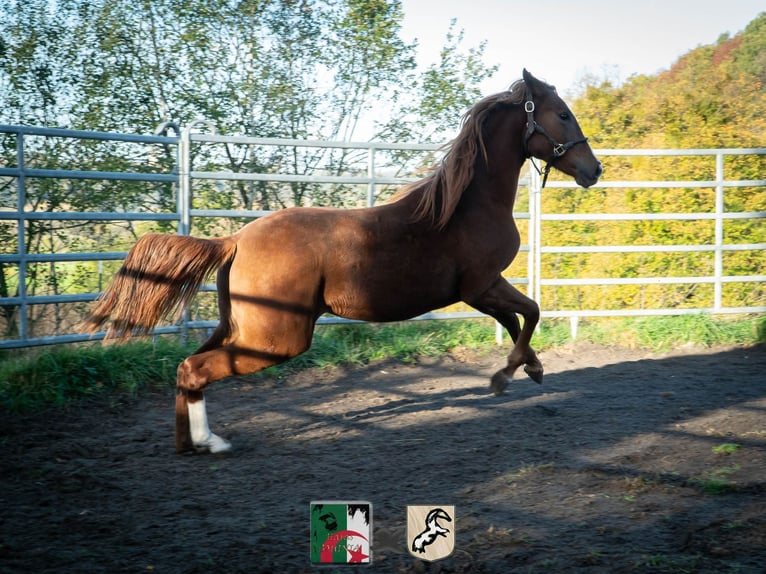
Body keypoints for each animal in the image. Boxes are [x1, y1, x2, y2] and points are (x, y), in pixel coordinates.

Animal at [82, 69, 602, 454]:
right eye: (562, 113)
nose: (593, 170)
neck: (466, 206)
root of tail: (236, 239)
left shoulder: (478, 291)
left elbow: (518, 320)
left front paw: (530, 369)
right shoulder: (480, 285)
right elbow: (530, 312)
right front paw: (506, 376)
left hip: (241, 328)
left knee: (187, 367)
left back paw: (187, 443)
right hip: (276, 340)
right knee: (194, 368)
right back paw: (211, 442)